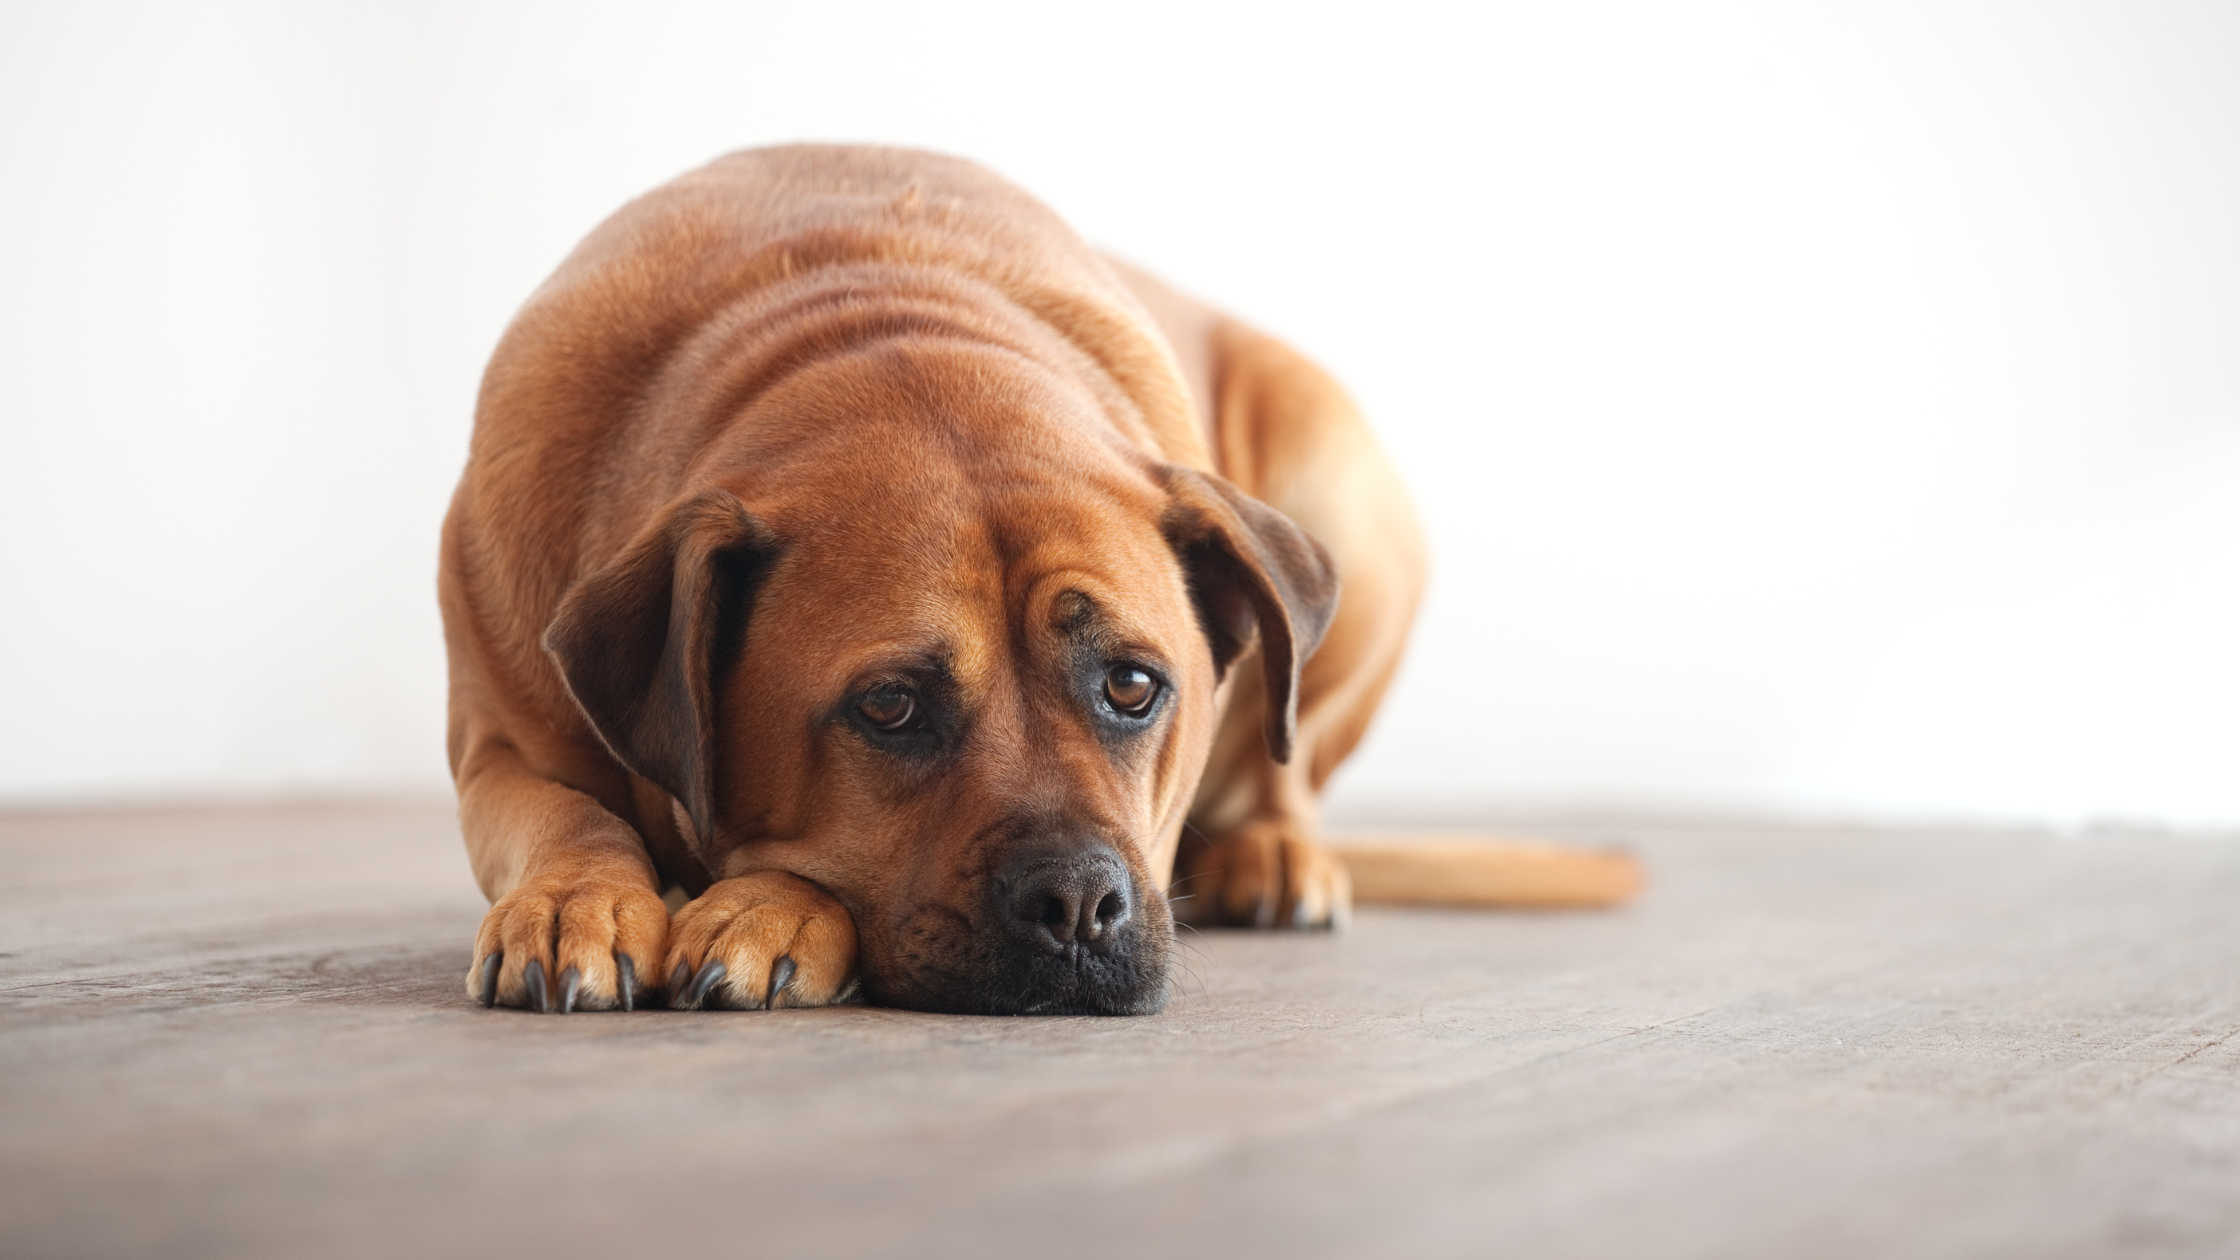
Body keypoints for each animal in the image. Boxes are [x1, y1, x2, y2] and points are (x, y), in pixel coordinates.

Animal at [441, 146, 1612, 1013]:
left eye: (1133, 686)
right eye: (889, 705)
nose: (1077, 905)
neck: (863, 312)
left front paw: (767, 904)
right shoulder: (498, 746)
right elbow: (564, 815)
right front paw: (578, 897)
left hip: (1342, 492)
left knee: (1289, 752)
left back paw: (1277, 851)